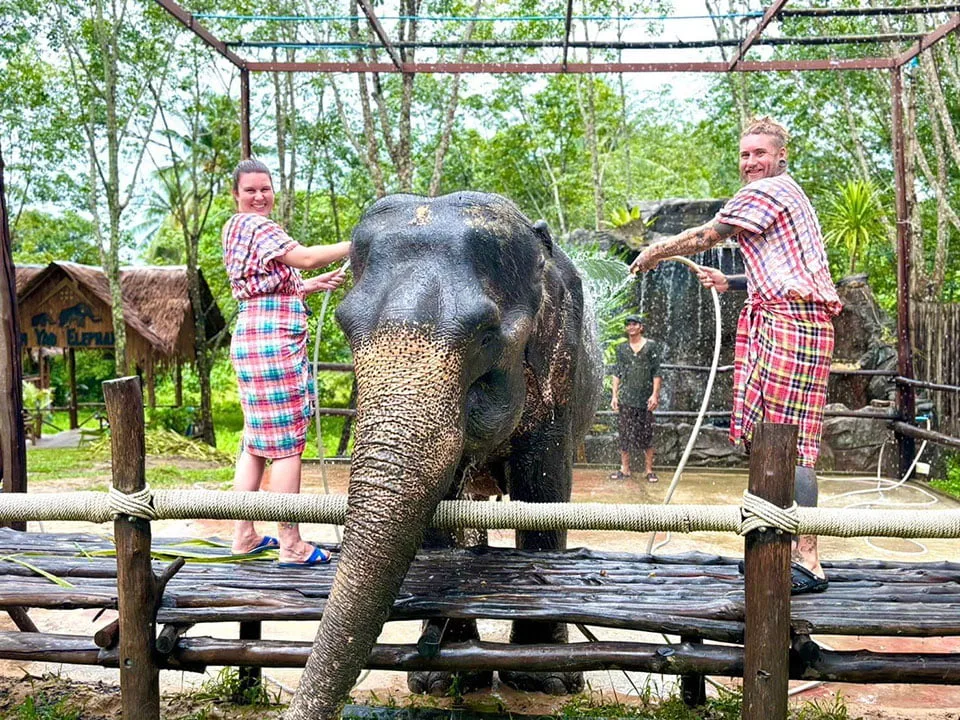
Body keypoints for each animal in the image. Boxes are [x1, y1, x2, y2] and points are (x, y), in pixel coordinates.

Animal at [287, 192, 603, 719]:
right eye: (346, 329)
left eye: (486, 336)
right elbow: (442, 507)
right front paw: (443, 681)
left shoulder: (562, 371)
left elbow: (542, 489)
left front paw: (547, 682)